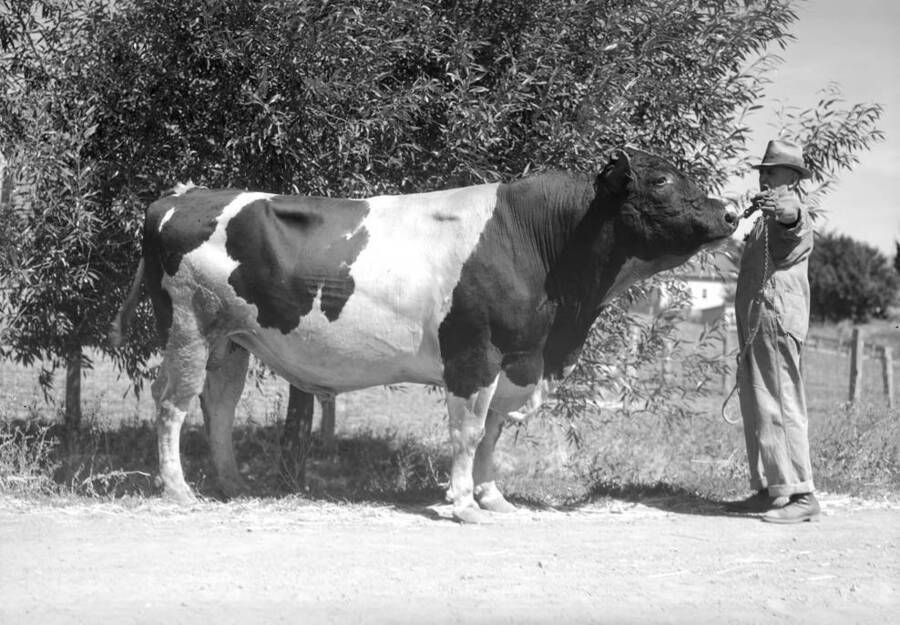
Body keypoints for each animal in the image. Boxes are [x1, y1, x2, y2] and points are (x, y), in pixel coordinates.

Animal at [109, 148, 738, 523]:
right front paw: (461, 504)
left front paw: (493, 498)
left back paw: (233, 484)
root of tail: (180, 196)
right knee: (172, 404)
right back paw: (179, 490)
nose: (731, 213)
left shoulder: (517, 359)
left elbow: (492, 436)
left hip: (231, 337)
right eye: (661, 180)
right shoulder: (475, 355)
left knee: (217, 404)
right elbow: (467, 433)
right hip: (188, 324)